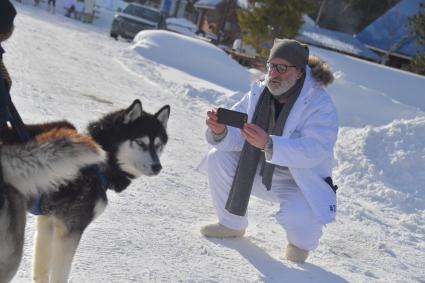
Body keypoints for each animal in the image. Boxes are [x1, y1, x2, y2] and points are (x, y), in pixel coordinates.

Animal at [27, 100, 170, 283]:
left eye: (158, 146)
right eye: (140, 143)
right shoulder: (71, 229)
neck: (99, 164)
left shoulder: (48, 221)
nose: (157, 167)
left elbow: (41, 270)